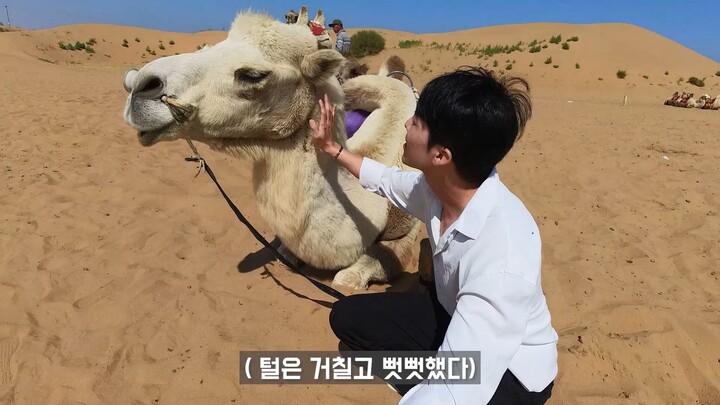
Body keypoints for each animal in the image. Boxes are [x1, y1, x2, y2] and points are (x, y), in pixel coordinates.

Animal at [122, 11, 420, 289]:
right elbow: (284, 253)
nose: (138, 84)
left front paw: (351, 275)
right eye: (208, 46)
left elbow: (361, 270)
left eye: (253, 75)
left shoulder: (406, 231)